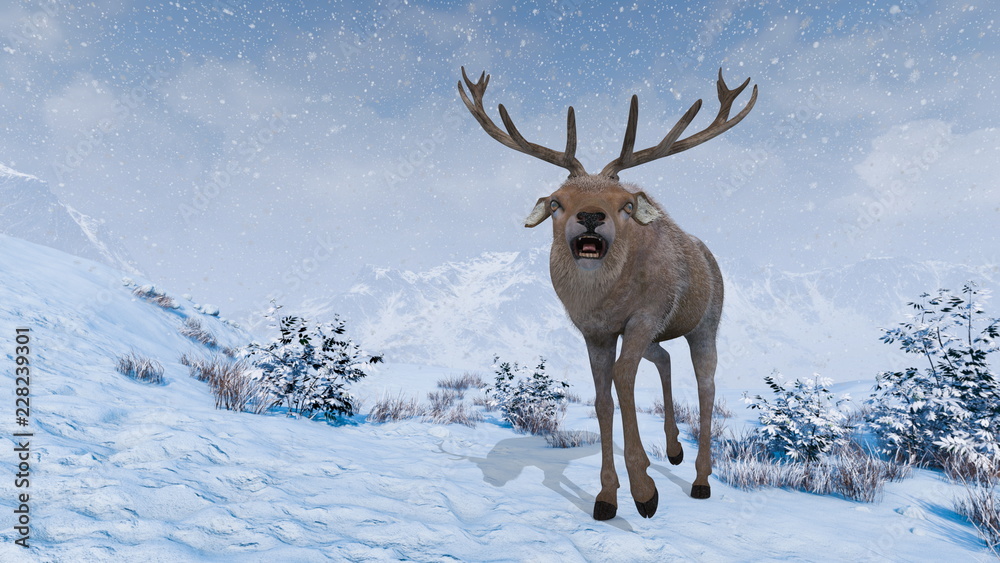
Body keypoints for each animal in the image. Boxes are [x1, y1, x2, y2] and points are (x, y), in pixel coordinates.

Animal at [458, 67, 757, 521]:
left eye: (626, 205)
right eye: (557, 202)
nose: (591, 216)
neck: (606, 300)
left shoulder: (645, 316)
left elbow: (622, 378)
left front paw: (644, 491)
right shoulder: (595, 332)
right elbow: (602, 399)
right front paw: (607, 496)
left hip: (704, 323)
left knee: (706, 384)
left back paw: (701, 478)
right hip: (658, 335)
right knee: (664, 358)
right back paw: (672, 449)